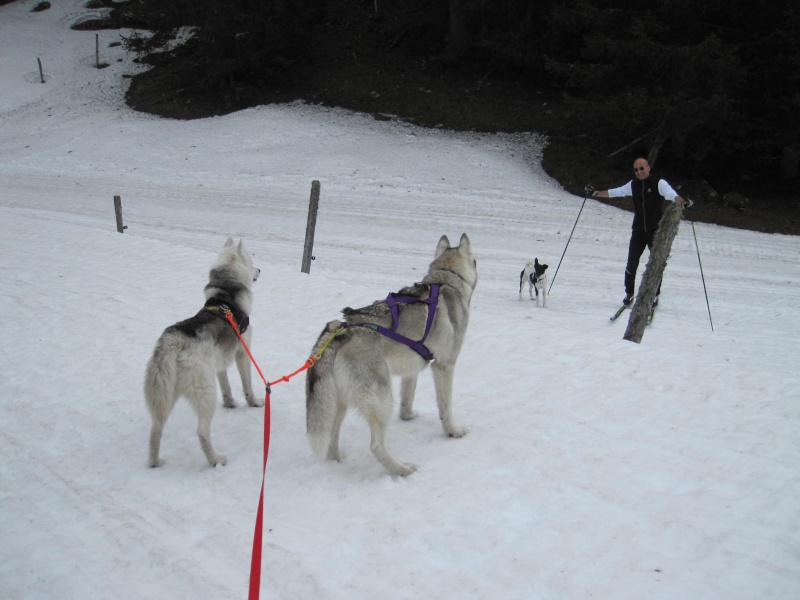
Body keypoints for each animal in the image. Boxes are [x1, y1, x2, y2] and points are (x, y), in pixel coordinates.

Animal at [141, 238, 260, 468]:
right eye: (251, 261)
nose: (260, 270)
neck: (226, 294)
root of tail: (173, 341)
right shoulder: (243, 353)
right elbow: (247, 385)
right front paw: (255, 403)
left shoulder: (220, 364)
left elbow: (227, 387)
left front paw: (230, 403)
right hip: (205, 394)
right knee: (202, 432)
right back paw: (215, 460)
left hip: (165, 397)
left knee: (155, 430)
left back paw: (155, 462)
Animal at [304, 232, 476, 476]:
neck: (445, 279)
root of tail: (339, 331)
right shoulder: (444, 365)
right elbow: (446, 407)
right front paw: (452, 431)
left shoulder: (413, 368)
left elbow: (407, 398)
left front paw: (408, 416)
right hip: (382, 399)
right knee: (376, 445)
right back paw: (402, 469)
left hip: (339, 404)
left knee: (330, 442)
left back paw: (339, 461)